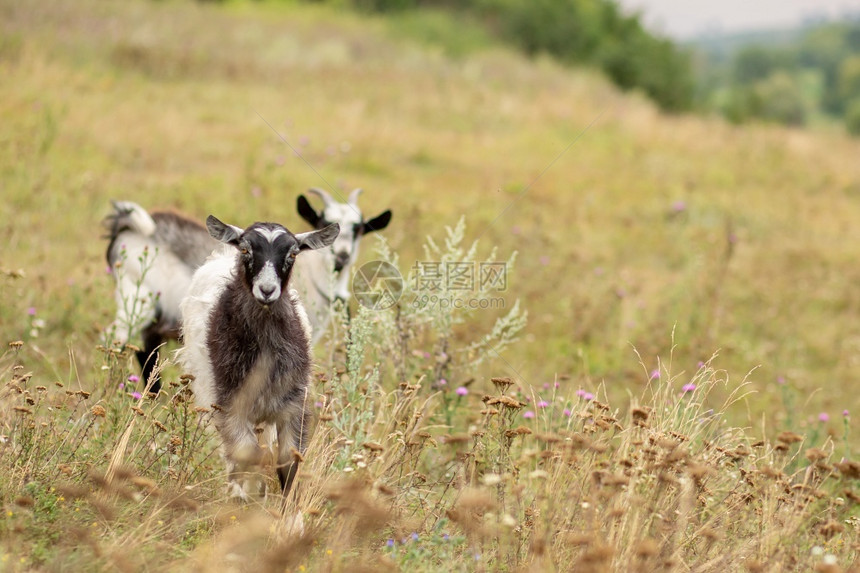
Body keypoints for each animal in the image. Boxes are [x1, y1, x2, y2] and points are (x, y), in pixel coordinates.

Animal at [179, 212, 340, 498]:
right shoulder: (231, 405)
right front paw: (245, 495)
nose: (266, 290)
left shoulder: (293, 406)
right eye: (245, 249)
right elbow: (247, 454)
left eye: (293, 254)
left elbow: (289, 463)